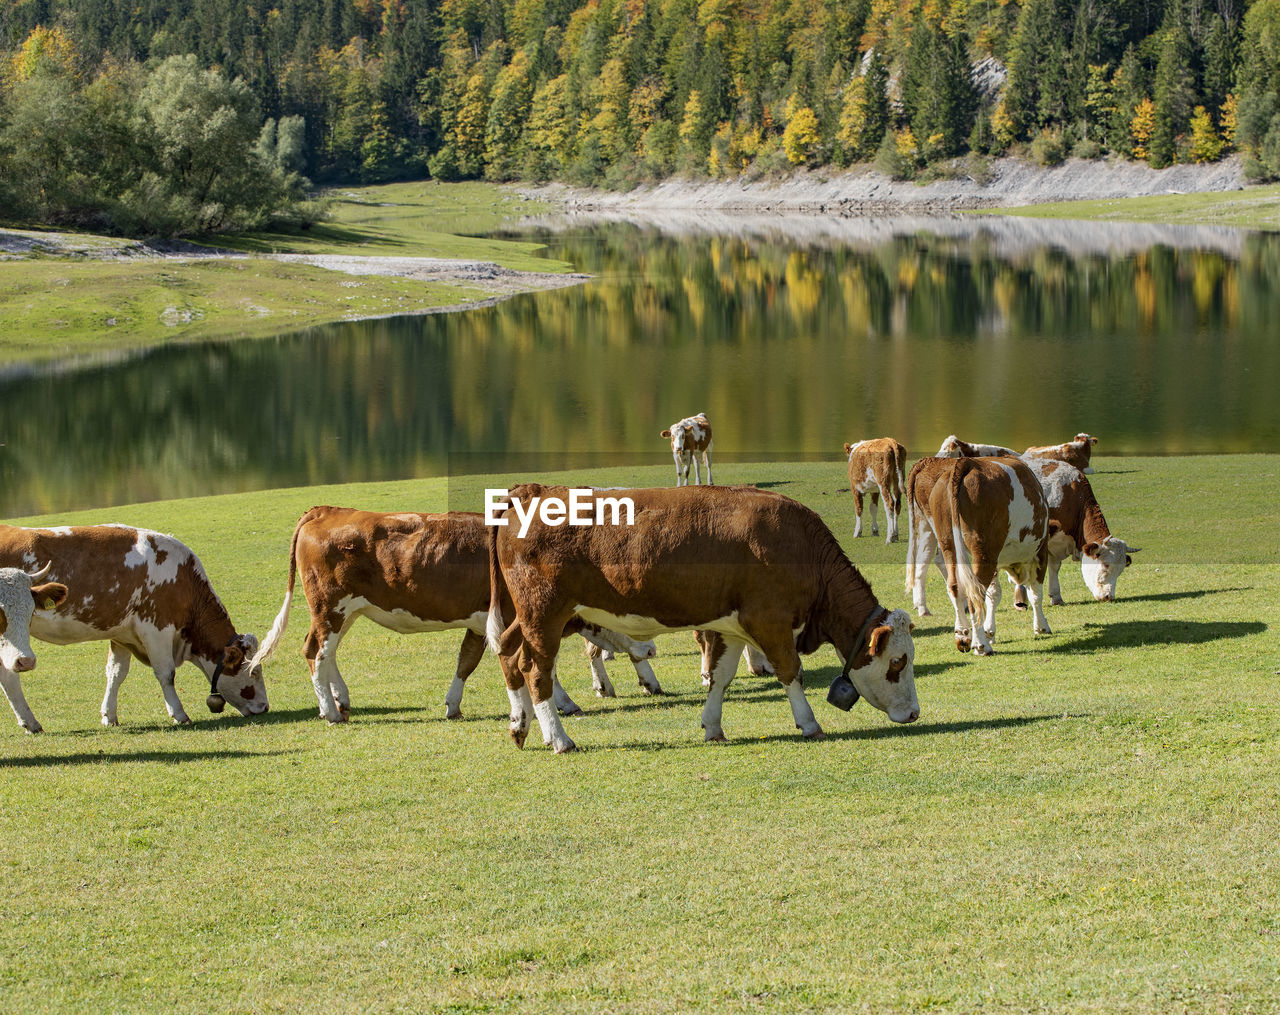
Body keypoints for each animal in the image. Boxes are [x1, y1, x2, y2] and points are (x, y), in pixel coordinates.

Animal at [486, 483, 921, 752]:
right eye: (898, 662)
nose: (915, 713)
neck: (800, 547)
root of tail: (534, 491)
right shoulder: (770, 620)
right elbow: (790, 672)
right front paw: (809, 723)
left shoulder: (732, 625)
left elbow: (720, 676)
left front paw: (713, 726)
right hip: (544, 614)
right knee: (535, 669)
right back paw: (559, 739)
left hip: (527, 618)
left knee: (508, 654)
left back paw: (519, 726)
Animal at [921, 455, 1049, 652]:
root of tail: (968, 462)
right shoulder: (1040, 552)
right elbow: (1036, 593)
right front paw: (1041, 626)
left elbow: (994, 595)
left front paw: (990, 632)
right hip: (984, 551)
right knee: (975, 593)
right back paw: (981, 645)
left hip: (949, 544)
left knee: (955, 586)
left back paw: (963, 635)